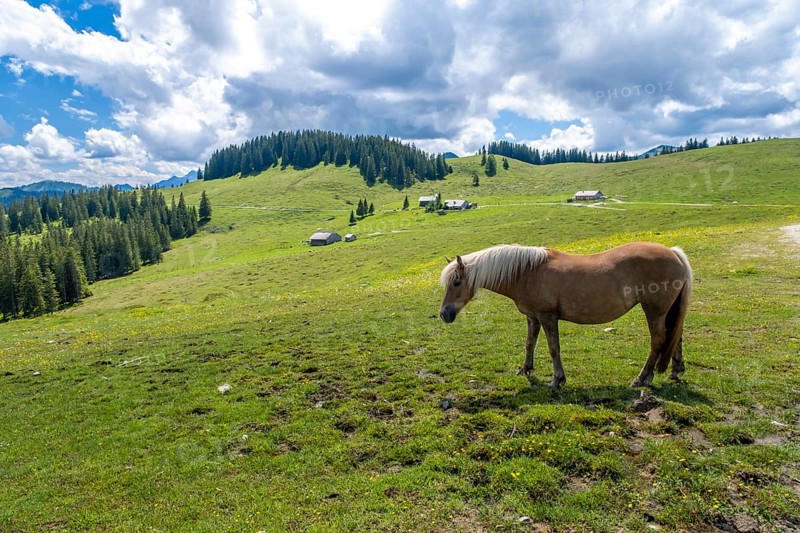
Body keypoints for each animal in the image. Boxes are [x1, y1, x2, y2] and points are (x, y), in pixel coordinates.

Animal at [439, 242, 692, 388]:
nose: (444, 314)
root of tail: (674, 253)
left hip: (655, 311)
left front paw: (557, 379)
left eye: (457, 282)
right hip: (668, 311)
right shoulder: (533, 318)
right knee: (675, 337)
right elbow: (529, 343)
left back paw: (642, 378)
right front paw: (525, 369)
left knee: (659, 341)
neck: (527, 272)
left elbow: (553, 348)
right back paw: (675, 372)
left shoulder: (547, 317)